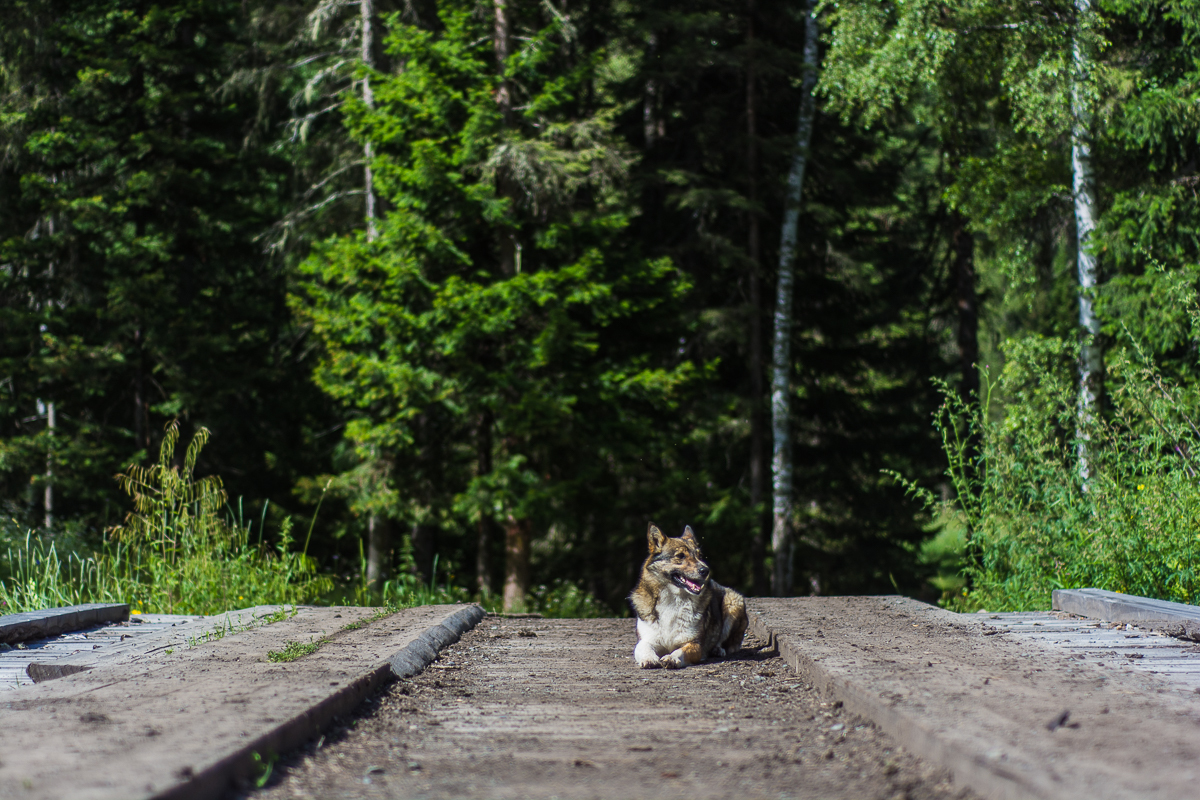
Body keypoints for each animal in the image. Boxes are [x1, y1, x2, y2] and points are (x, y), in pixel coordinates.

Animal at [633, 525, 744, 671]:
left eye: (700, 556)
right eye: (680, 556)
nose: (706, 570)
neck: (672, 600)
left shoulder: (694, 644)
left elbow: (679, 651)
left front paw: (671, 658)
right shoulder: (646, 640)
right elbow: (643, 648)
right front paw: (649, 658)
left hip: (733, 603)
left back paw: (717, 650)